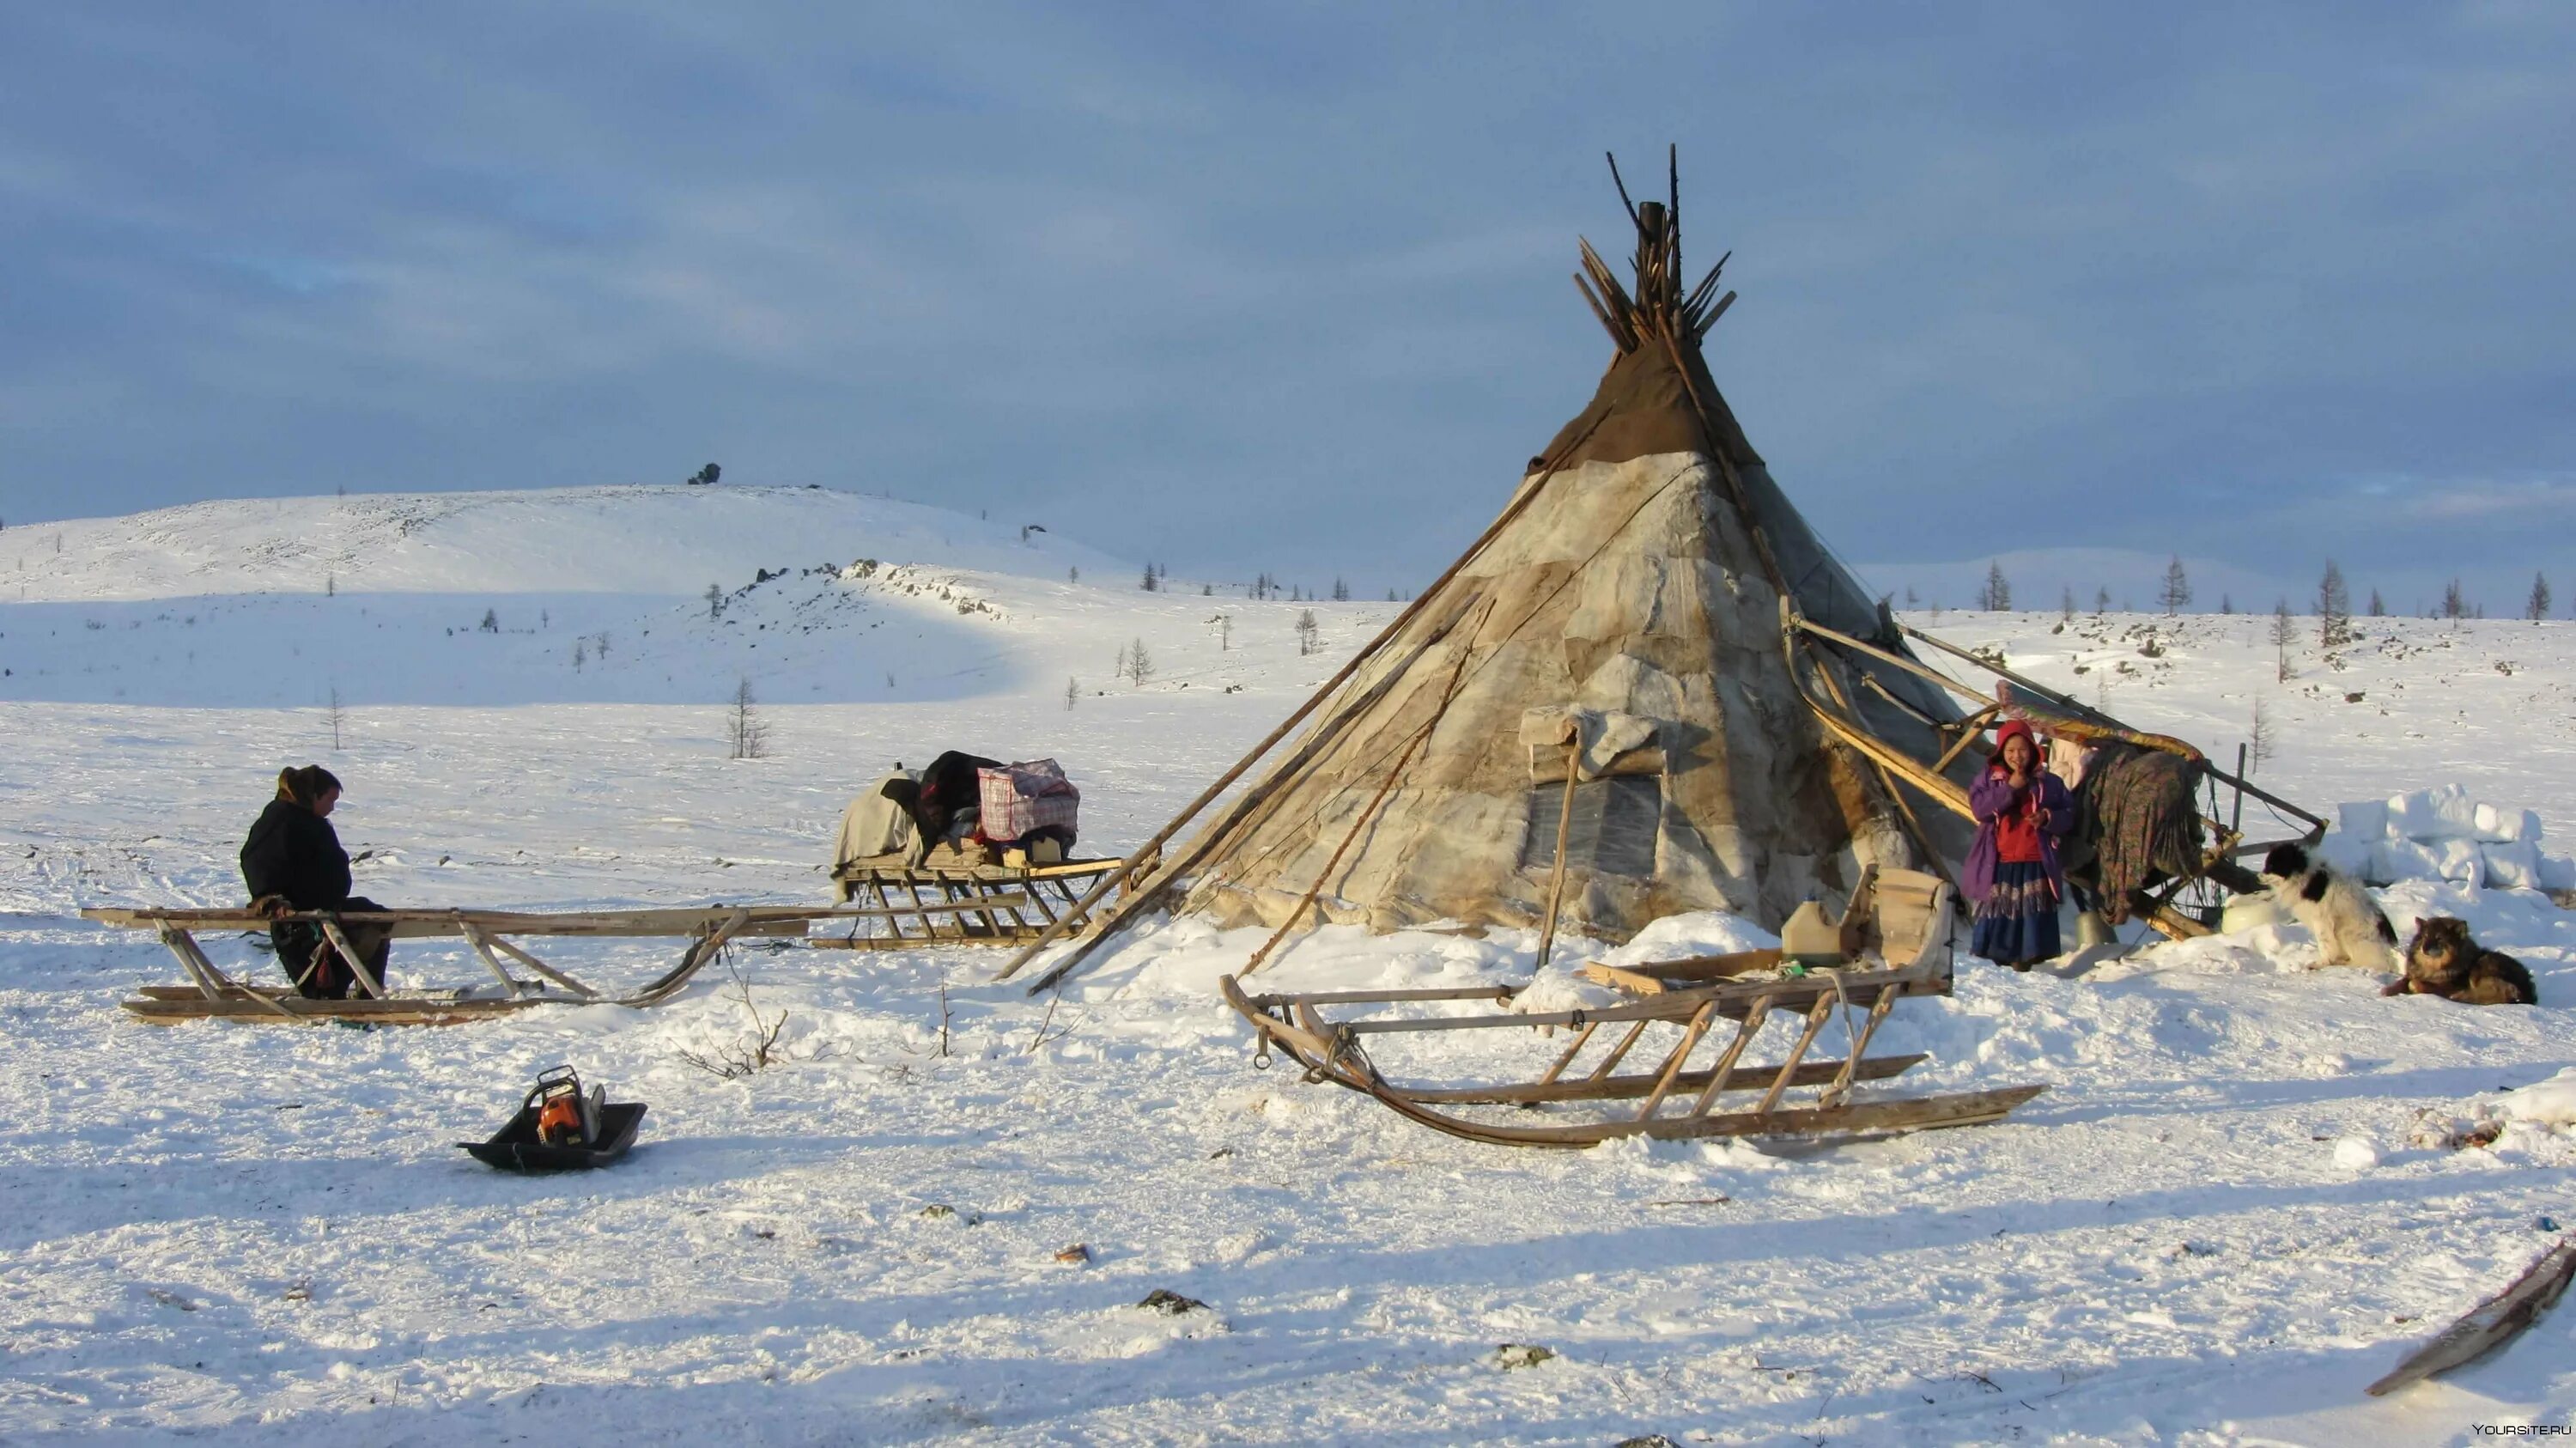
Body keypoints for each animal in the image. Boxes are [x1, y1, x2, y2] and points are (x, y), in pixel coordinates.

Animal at [2267, 835, 2401, 969]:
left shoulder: (2322, 920)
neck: (2306, 876)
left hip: (2346, 933)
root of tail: (2390, 951)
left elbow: (2325, 944)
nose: (2262, 876)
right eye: (2268, 865)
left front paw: (2321, 963)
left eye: (2273, 865)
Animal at [2391, 912, 2535, 1005]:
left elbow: (2417, 983)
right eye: (2425, 936)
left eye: (2439, 938)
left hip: (2483, 965)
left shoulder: (2448, 986)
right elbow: (2400, 983)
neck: (2434, 967)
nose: (2424, 949)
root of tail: (2529, 993)